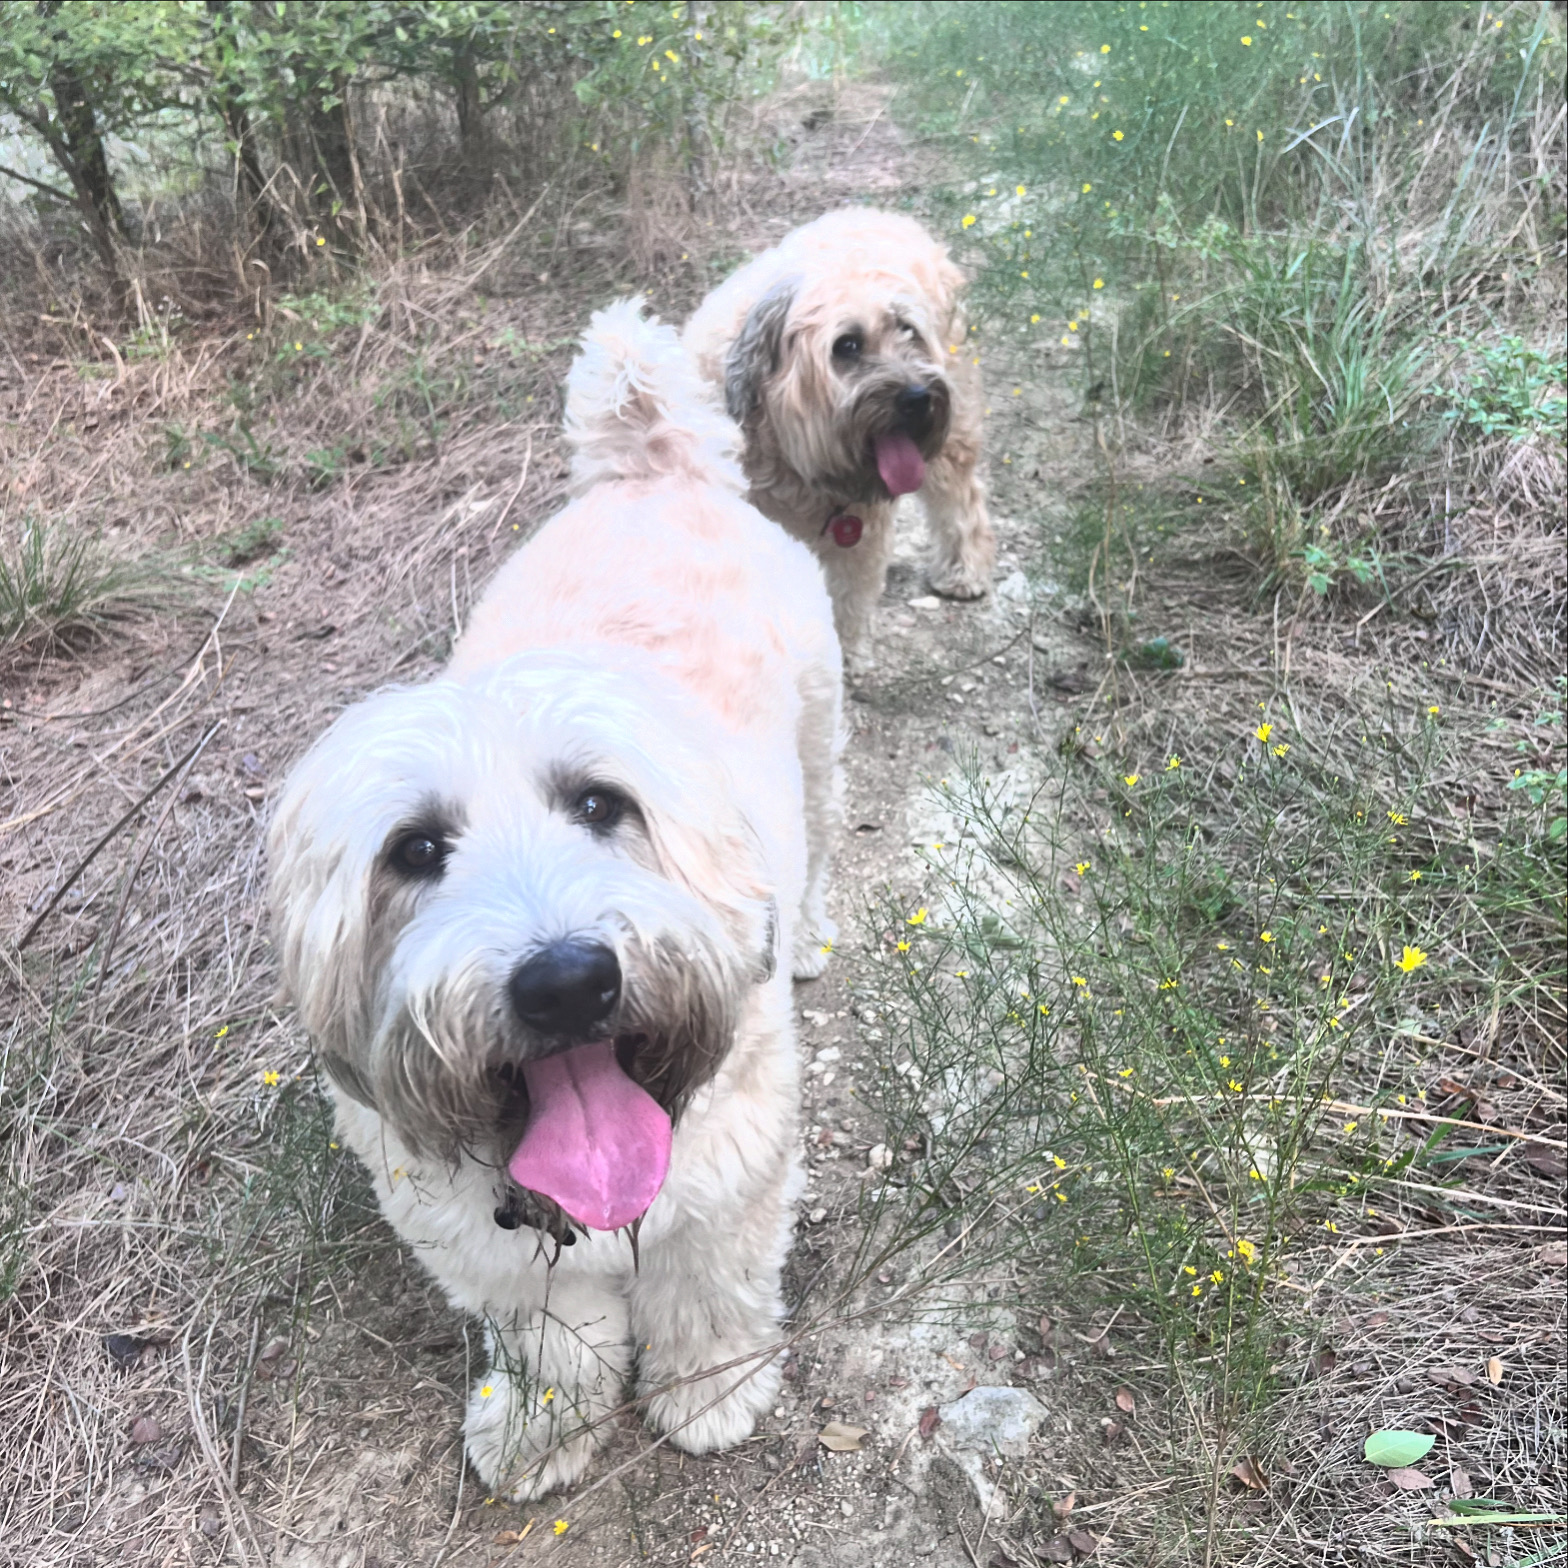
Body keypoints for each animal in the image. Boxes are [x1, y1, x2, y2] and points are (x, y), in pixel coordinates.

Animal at [266, 302, 846, 1492]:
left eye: (597, 802)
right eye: (413, 849)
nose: (568, 982)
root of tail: (650, 467)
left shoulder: (727, 1183)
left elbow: (707, 1293)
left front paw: (708, 1390)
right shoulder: (487, 1247)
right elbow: (556, 1344)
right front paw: (540, 1429)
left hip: (818, 725)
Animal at [686, 206, 990, 674]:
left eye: (908, 331)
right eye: (847, 345)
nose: (919, 398)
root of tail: (890, 217)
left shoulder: (862, 534)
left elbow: (847, 598)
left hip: (951, 441)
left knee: (961, 500)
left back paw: (963, 572)